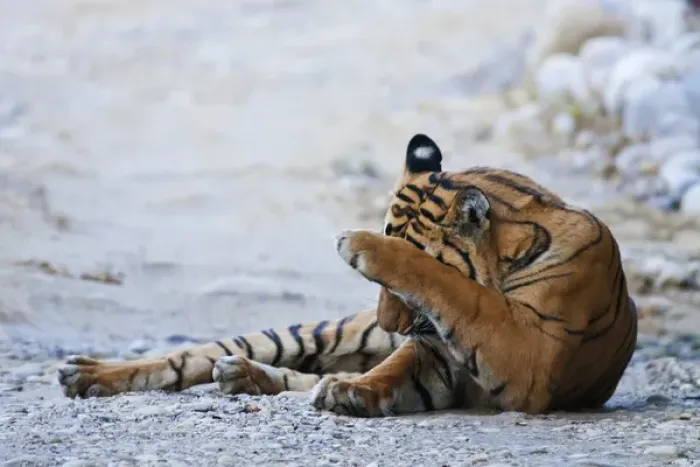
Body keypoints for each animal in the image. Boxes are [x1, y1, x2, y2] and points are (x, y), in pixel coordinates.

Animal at [57, 133, 638, 416]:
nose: (390, 324)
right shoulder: (437, 350)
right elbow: (397, 363)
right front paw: (355, 390)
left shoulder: (530, 352)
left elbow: (458, 291)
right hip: (313, 332)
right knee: (188, 357)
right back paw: (86, 374)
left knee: (293, 380)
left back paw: (248, 376)